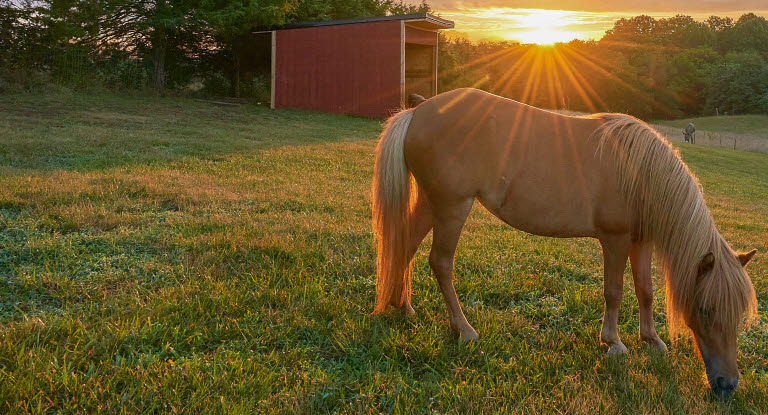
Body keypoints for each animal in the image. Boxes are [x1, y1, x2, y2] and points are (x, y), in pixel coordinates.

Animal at [370, 89, 756, 398]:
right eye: (705, 310)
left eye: (738, 315)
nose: (728, 385)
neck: (639, 172)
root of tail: (418, 111)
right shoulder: (614, 240)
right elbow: (614, 291)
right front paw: (614, 343)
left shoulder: (640, 241)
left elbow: (644, 290)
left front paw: (652, 340)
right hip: (452, 207)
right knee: (441, 263)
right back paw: (463, 330)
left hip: (431, 203)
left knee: (405, 246)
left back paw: (403, 307)